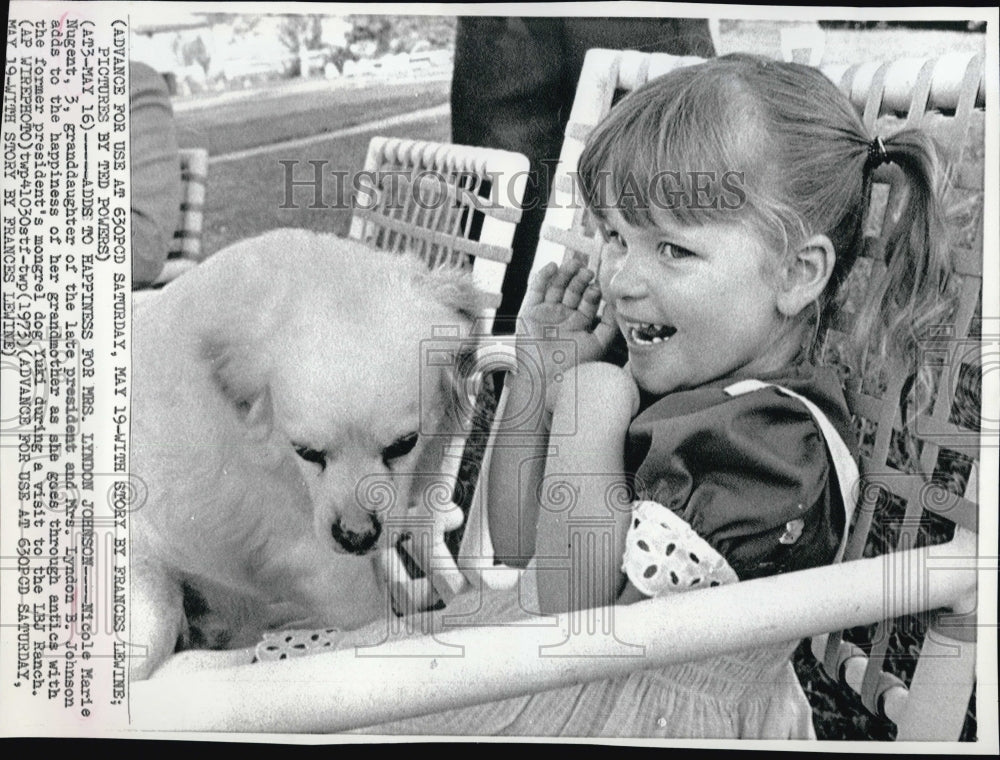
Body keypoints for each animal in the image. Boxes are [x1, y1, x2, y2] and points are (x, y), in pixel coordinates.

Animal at [130, 229, 480, 680]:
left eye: (402, 445)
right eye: (308, 453)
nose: (356, 537)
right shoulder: (309, 554)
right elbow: (370, 614)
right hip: (153, 604)